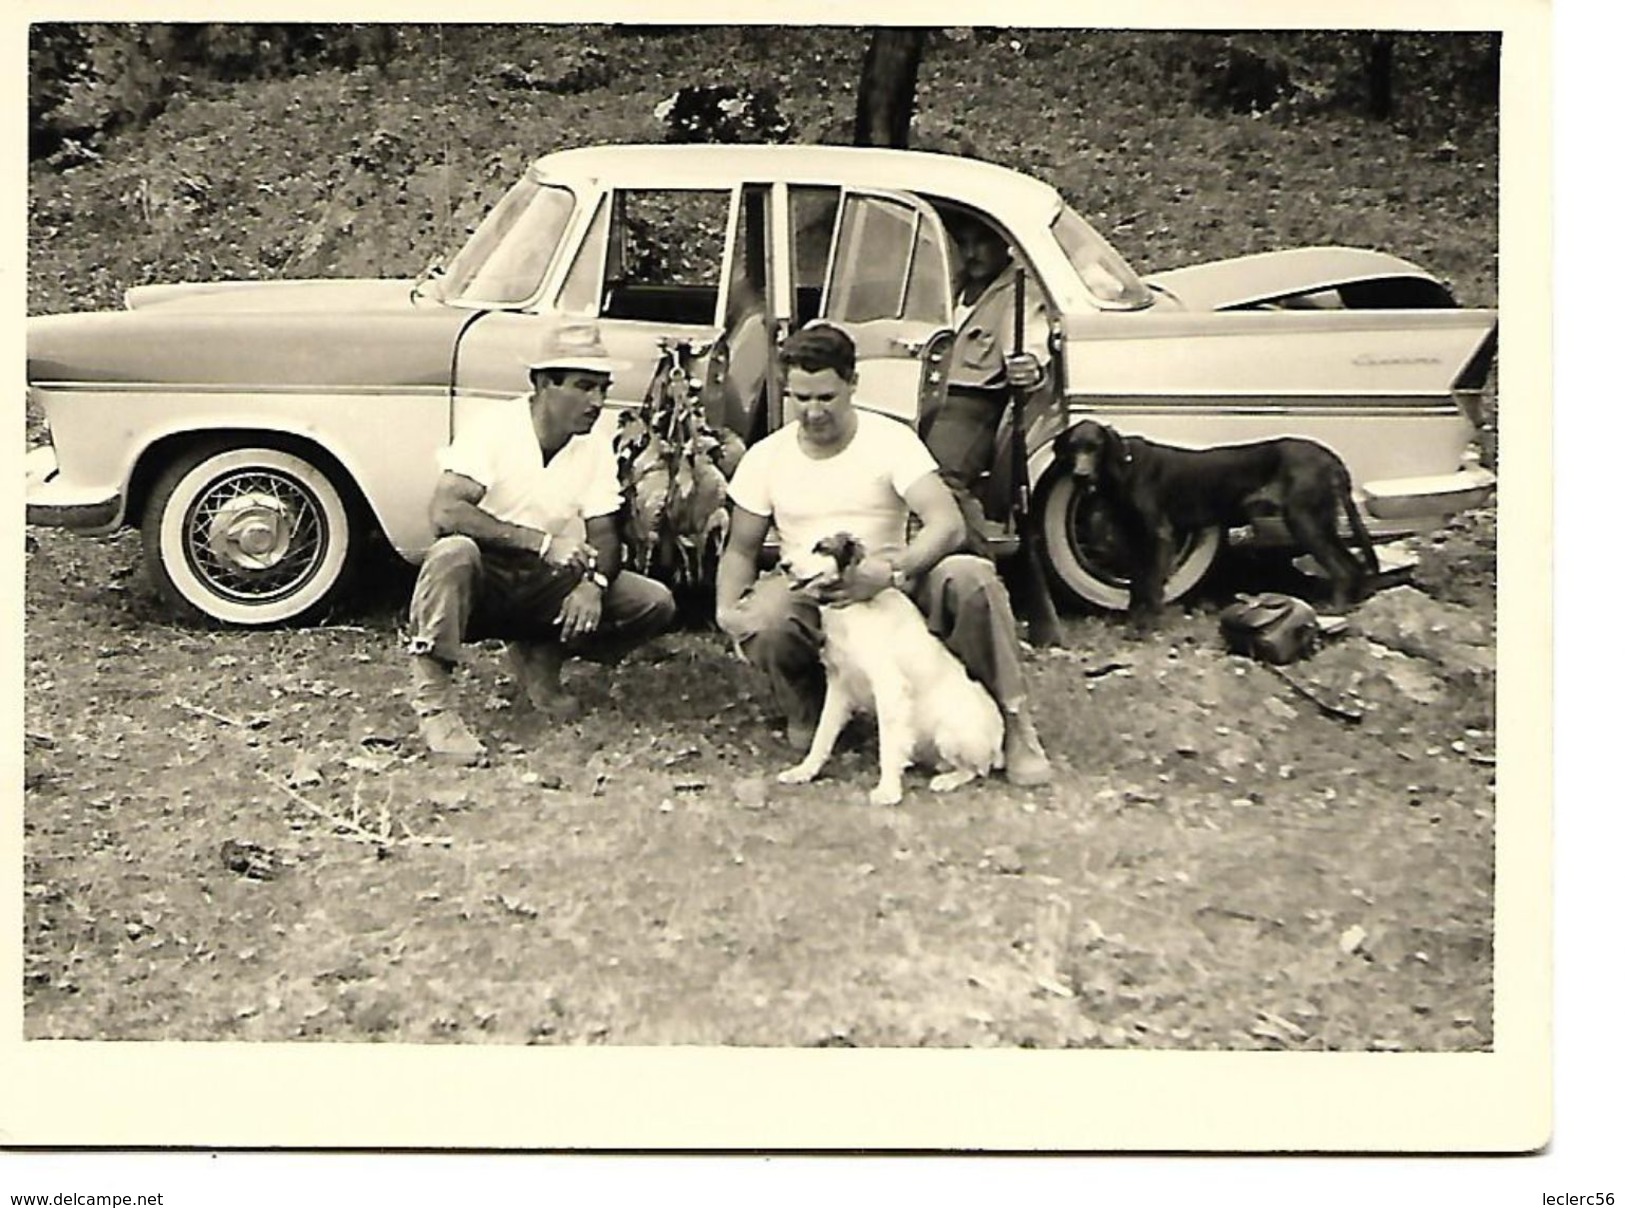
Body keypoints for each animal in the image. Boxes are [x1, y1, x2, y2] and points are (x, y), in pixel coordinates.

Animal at [776, 533, 1001, 806]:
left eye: (821, 547)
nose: (784, 565)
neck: (854, 609)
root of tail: (998, 741)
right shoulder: (839, 684)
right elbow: (823, 734)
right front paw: (803, 771)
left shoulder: (889, 688)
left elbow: (888, 745)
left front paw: (888, 790)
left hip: (952, 731)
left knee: (977, 769)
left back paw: (946, 780)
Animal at [1046, 419, 1378, 617]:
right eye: (1073, 448)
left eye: (1094, 447)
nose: (1080, 474)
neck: (1123, 466)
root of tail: (1331, 459)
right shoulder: (1134, 537)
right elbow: (1137, 584)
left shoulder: (1159, 534)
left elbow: (1152, 585)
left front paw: (1148, 626)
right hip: (1321, 521)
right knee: (1353, 564)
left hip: (1304, 521)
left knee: (1342, 568)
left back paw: (1335, 610)